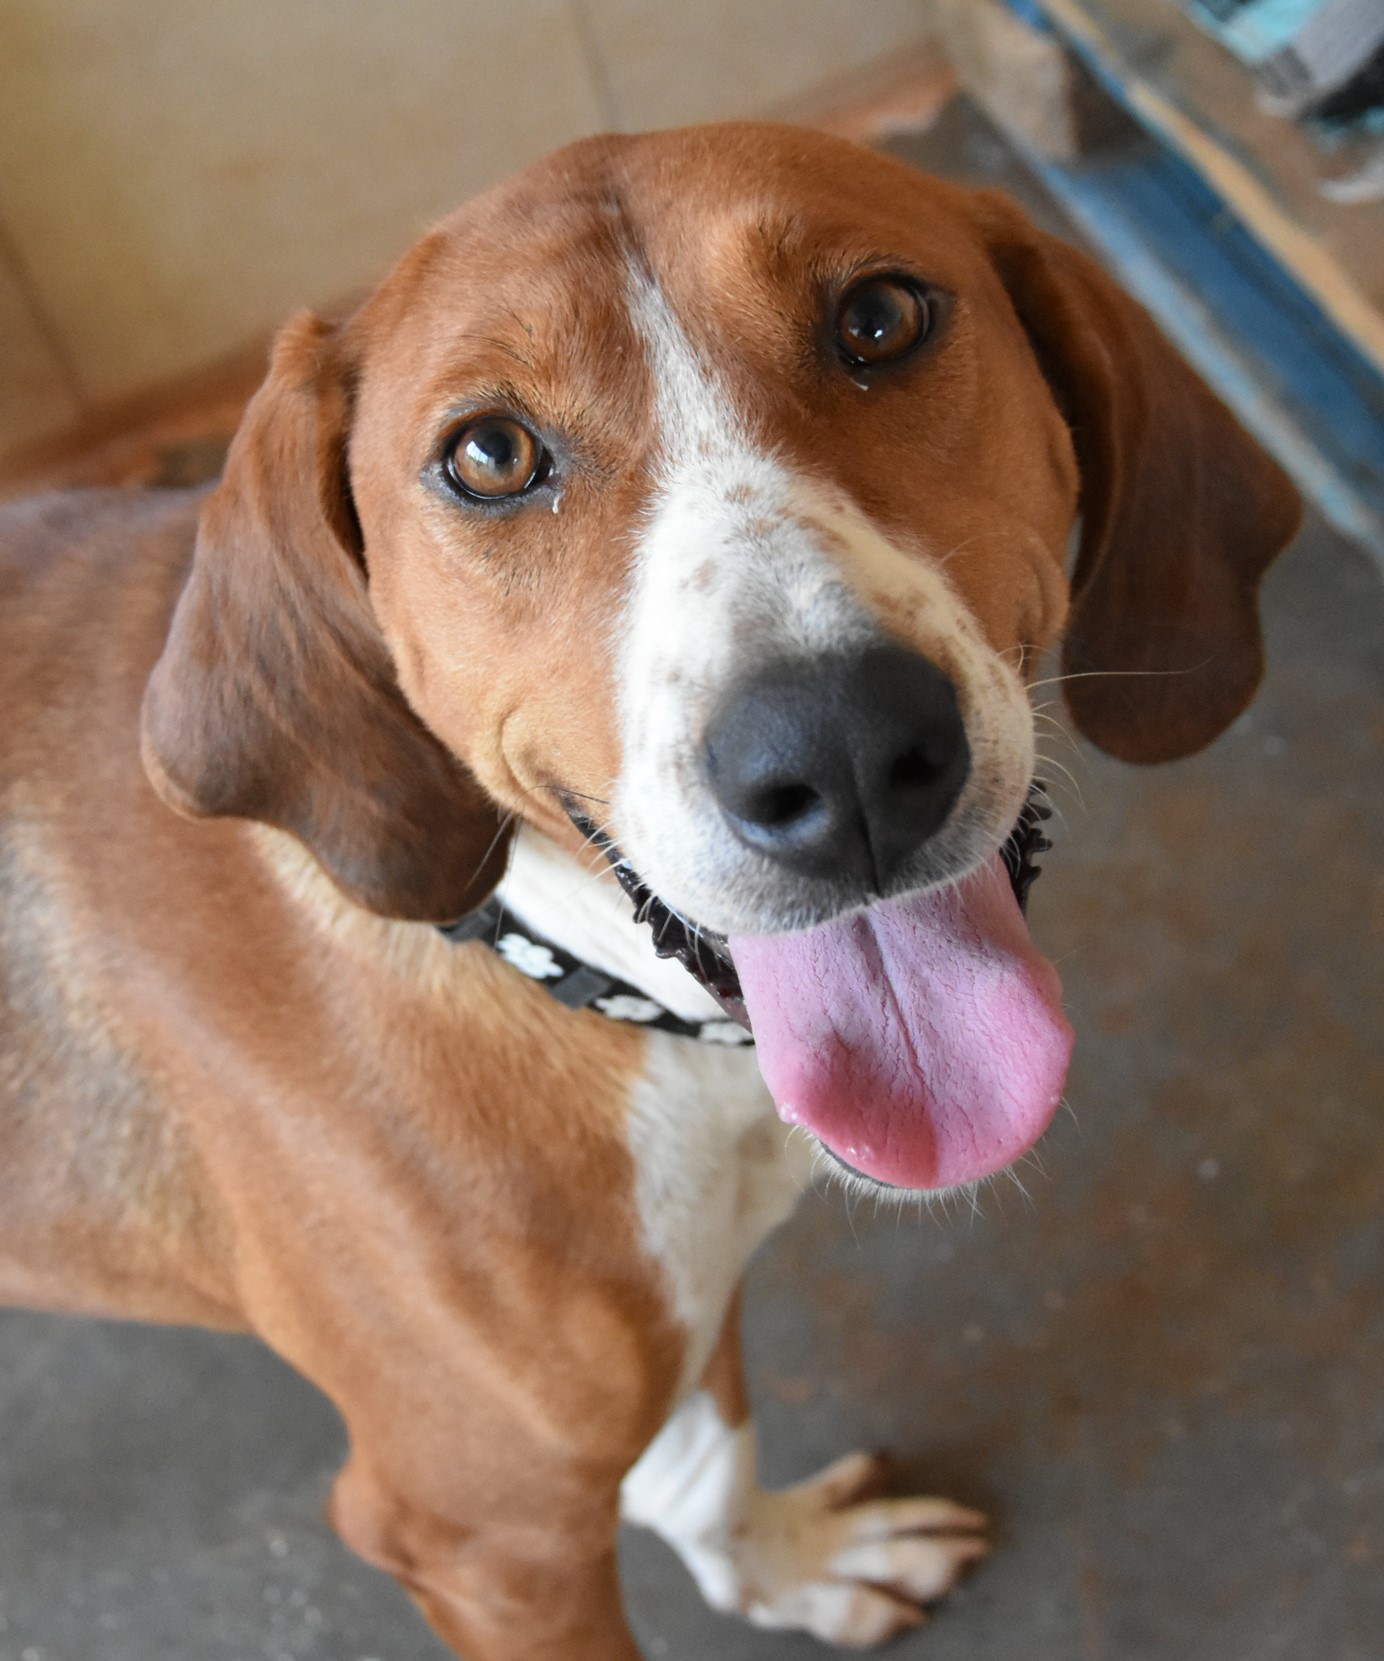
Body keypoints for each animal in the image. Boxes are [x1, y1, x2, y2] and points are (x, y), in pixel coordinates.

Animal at [0, 122, 1298, 1658]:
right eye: (490, 454)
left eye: (880, 318)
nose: (841, 751)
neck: (566, 974)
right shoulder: (488, 1538)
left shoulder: (685, 1316)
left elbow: (704, 1461)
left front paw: (788, 1567)